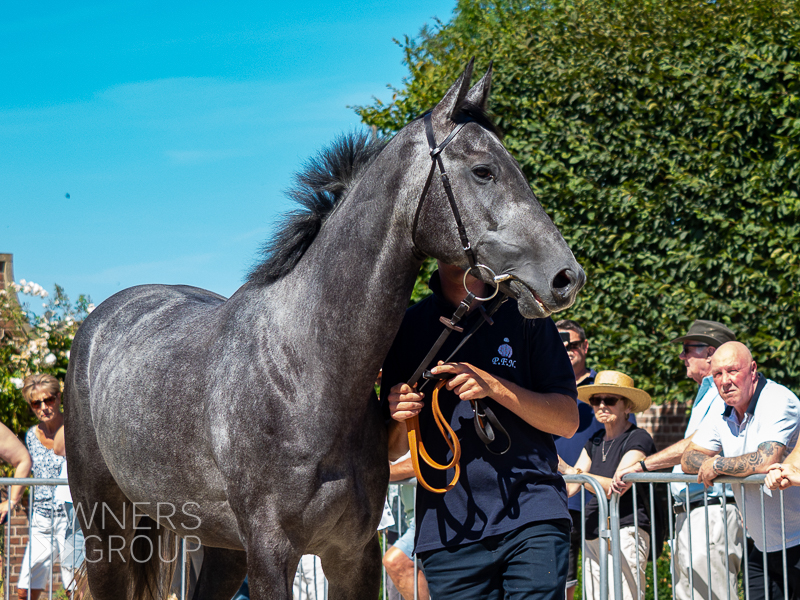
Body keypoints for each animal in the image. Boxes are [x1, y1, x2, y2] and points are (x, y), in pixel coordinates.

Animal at [62, 62, 584, 600]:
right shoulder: (271, 557)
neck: (307, 374)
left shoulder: (352, 556)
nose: (566, 277)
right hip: (107, 532)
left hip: (218, 544)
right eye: (483, 171)